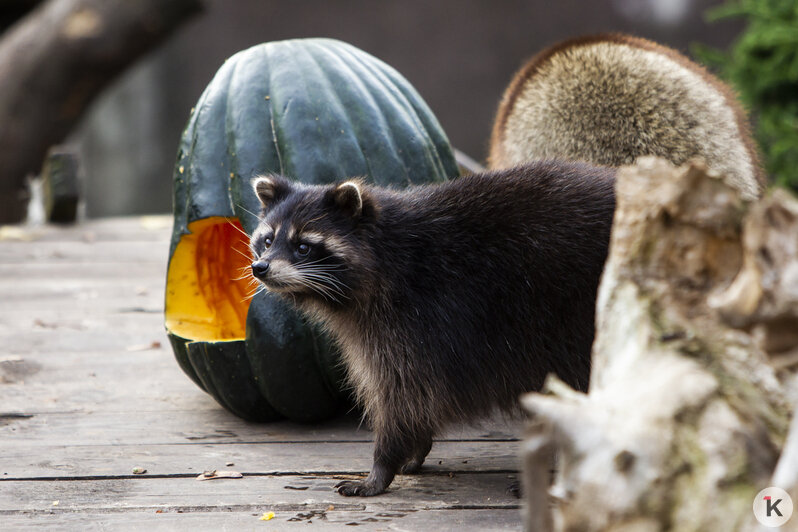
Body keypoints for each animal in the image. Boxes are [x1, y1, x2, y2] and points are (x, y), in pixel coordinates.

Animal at [250, 160, 620, 496]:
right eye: (267, 241)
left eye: (303, 246)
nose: (260, 267)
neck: (382, 252)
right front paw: (416, 449)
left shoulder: (413, 321)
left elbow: (402, 394)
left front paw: (382, 466)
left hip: (577, 317)